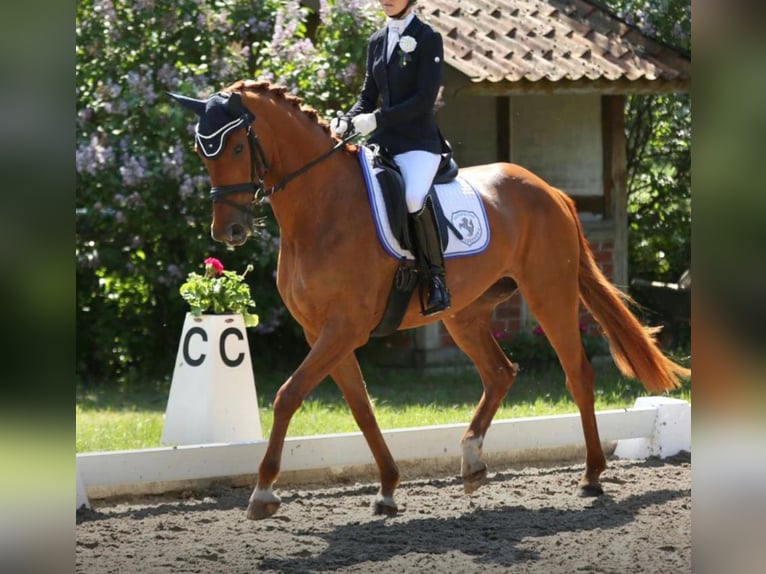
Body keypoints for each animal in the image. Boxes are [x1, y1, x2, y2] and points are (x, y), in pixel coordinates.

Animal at [171, 80, 692, 520]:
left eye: (239, 147)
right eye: (201, 151)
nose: (229, 231)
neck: (320, 207)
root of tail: (551, 191)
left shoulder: (343, 328)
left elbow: (287, 396)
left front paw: (262, 493)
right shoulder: (322, 332)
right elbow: (361, 407)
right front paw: (386, 489)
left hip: (549, 294)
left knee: (578, 374)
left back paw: (590, 476)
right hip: (465, 314)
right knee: (500, 372)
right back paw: (472, 463)